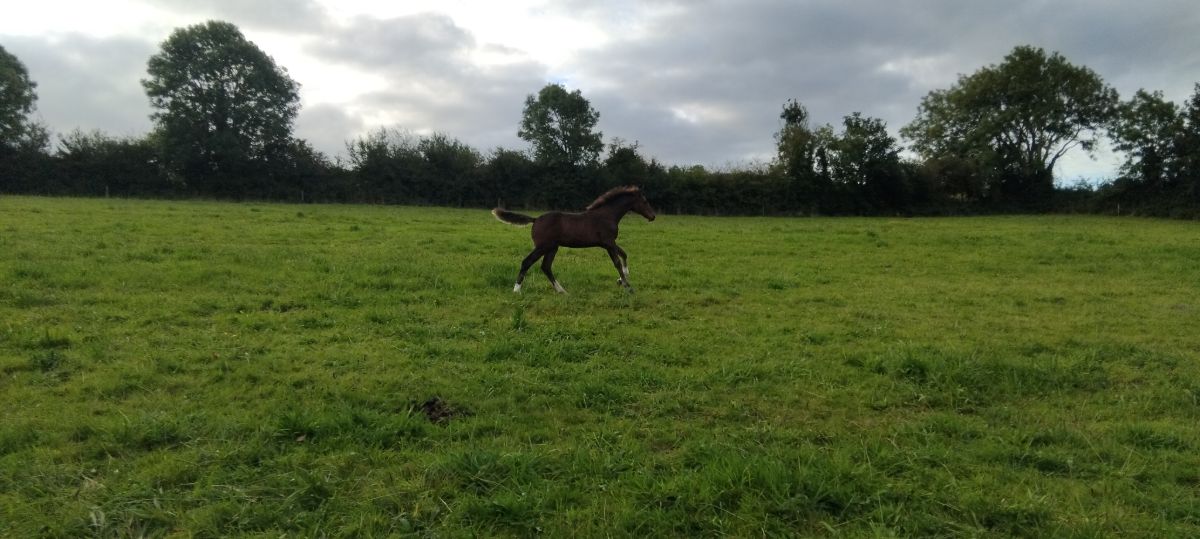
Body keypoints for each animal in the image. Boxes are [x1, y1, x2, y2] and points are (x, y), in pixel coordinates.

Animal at [492, 186, 656, 293]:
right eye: (645, 201)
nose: (653, 216)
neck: (607, 215)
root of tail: (535, 219)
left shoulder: (608, 243)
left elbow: (624, 255)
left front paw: (621, 280)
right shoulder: (608, 243)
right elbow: (617, 262)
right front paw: (627, 286)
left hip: (552, 247)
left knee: (546, 267)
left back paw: (562, 291)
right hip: (543, 246)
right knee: (527, 262)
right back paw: (516, 290)